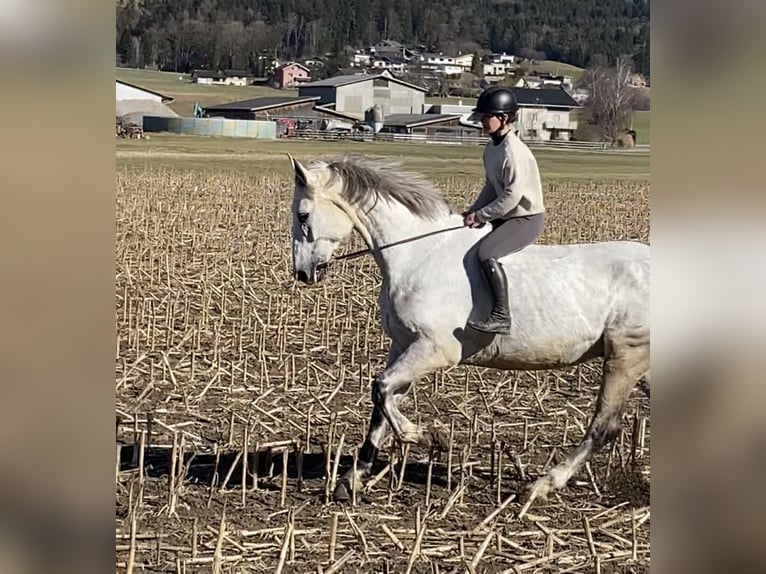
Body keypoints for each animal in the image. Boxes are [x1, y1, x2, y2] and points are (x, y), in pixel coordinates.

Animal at [292, 155, 652, 510]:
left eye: (303, 214)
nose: (302, 274)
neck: (421, 254)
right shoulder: (403, 346)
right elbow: (381, 405)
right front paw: (351, 479)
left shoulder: (433, 350)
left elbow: (381, 390)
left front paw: (427, 436)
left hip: (625, 358)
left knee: (604, 427)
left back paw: (540, 486)